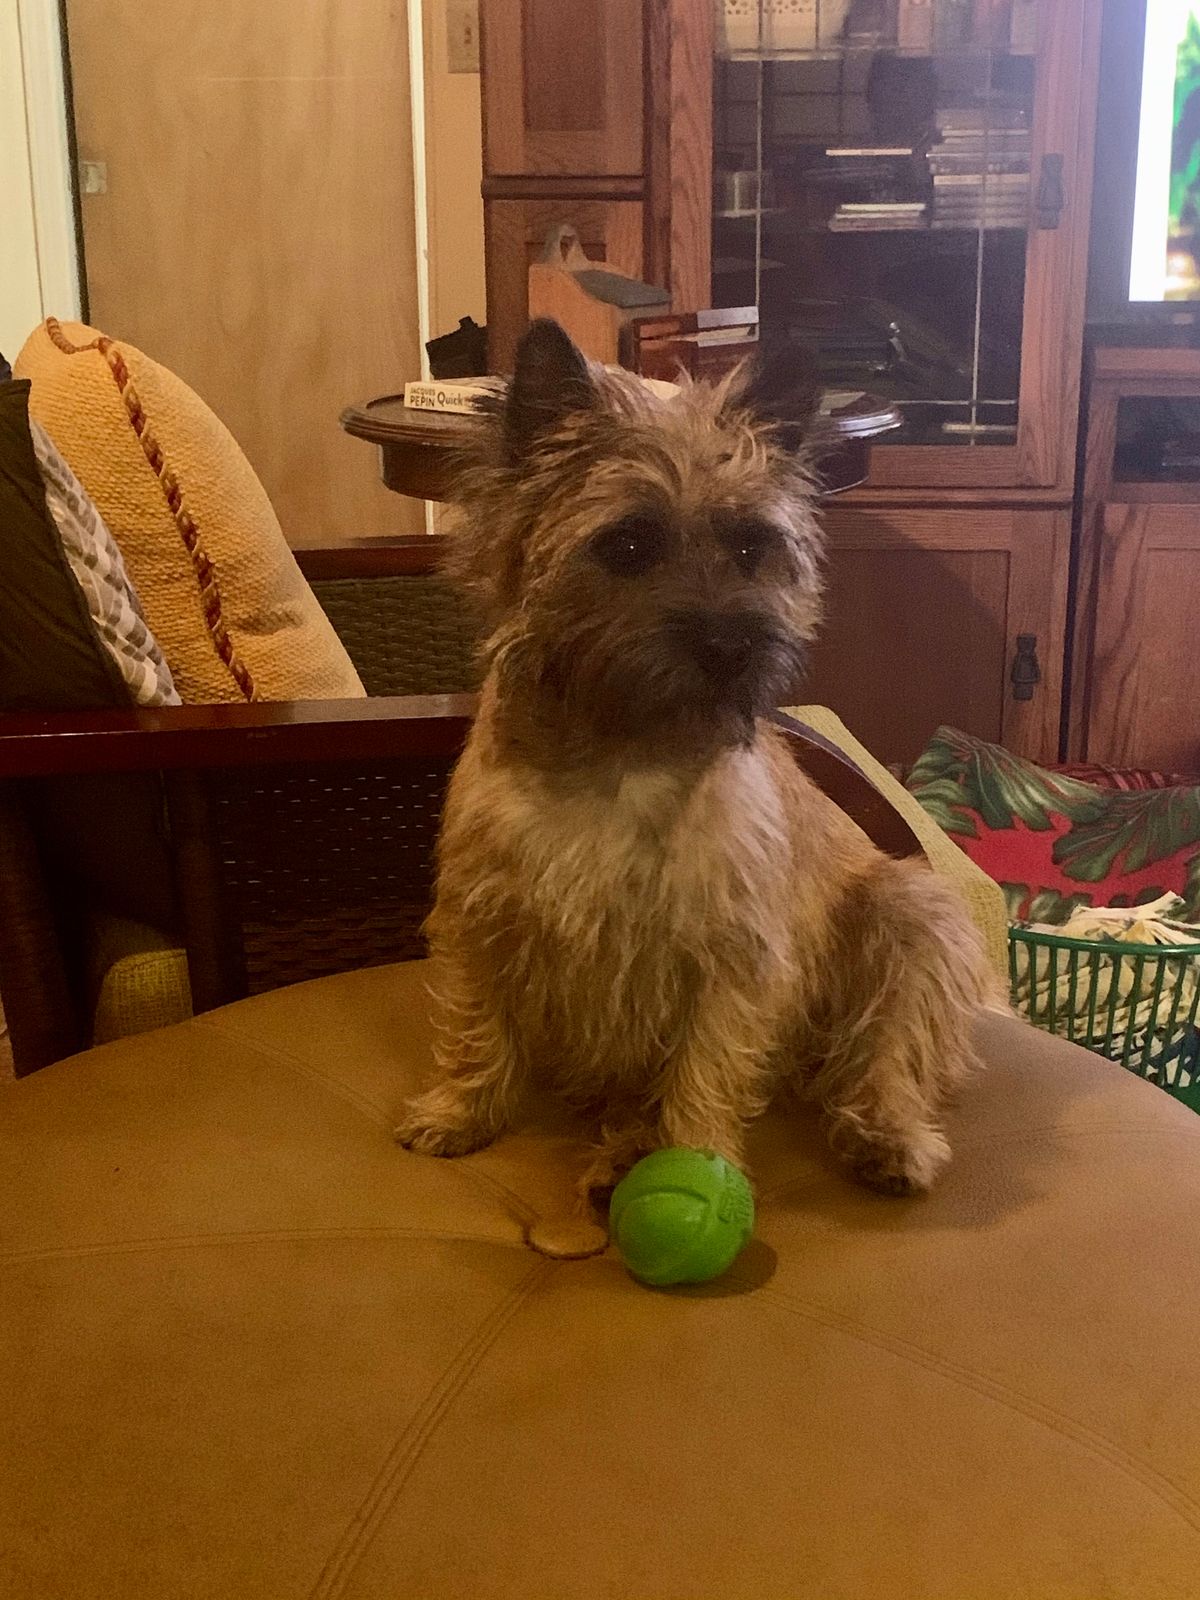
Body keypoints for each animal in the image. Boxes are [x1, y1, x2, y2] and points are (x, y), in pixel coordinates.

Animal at [396, 319, 992, 1200]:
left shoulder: (731, 957)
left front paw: (691, 1155)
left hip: (909, 914)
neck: (621, 752)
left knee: (884, 1055)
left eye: (751, 546)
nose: (733, 646)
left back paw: (884, 1136)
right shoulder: (481, 914)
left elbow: (704, 1068)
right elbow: (477, 1021)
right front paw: (459, 1112)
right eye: (628, 543)